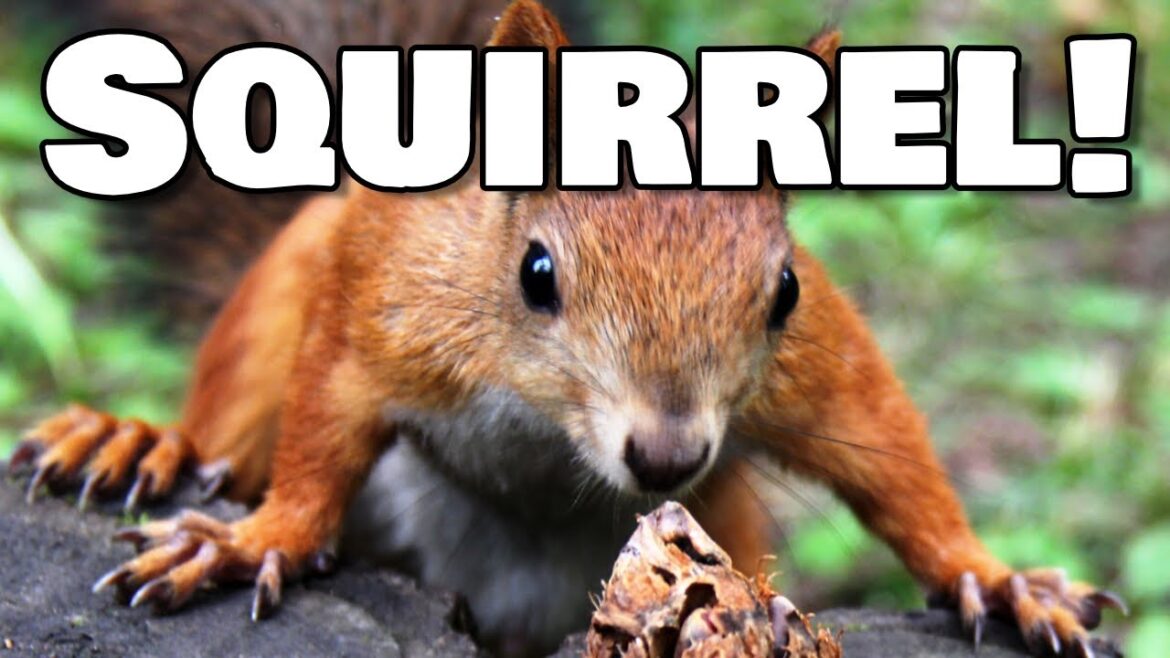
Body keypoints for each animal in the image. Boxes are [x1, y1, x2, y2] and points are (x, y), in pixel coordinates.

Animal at [12, 0, 1125, 656]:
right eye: (536, 274)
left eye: (784, 292)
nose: (667, 454)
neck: (550, 435)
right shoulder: (389, 308)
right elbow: (319, 429)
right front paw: (253, 542)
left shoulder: (814, 365)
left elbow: (887, 447)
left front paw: (999, 579)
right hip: (289, 274)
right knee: (233, 418)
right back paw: (135, 442)